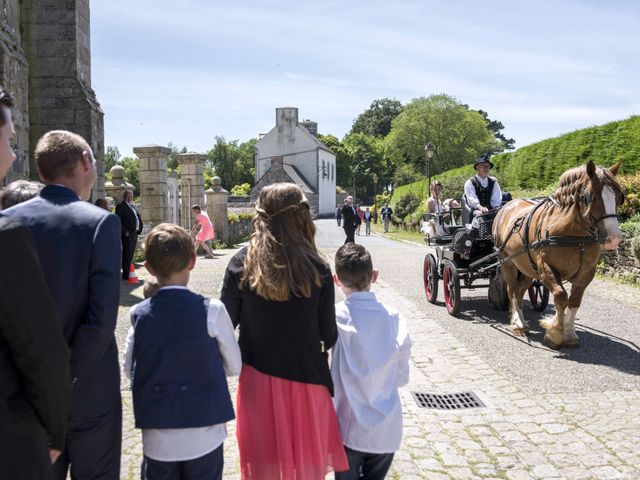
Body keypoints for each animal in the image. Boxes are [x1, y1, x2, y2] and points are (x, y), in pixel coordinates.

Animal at [492, 161, 624, 348]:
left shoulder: (586, 273)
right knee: (512, 289)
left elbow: (574, 301)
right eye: (589, 197)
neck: (574, 235)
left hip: (525, 266)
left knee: (520, 290)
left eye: (619, 196)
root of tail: (506, 206)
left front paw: (568, 333)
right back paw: (518, 323)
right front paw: (555, 333)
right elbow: (561, 296)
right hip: (507, 261)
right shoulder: (546, 268)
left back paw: (520, 320)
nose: (614, 238)